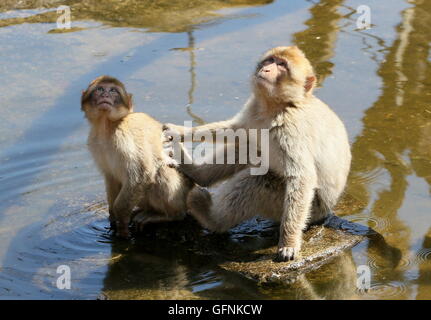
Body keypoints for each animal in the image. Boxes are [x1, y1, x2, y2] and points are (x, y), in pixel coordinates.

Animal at [80, 76, 194, 239]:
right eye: (100, 89)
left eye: (113, 90)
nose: (105, 95)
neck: (107, 125)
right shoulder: (95, 142)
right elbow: (111, 177)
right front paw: (112, 217)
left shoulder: (124, 137)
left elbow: (140, 175)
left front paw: (121, 222)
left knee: (160, 168)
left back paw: (170, 215)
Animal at [164, 46, 352, 262]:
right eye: (270, 61)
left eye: (282, 65)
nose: (267, 69)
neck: (275, 107)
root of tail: (327, 211)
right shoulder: (253, 109)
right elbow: (234, 130)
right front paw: (180, 131)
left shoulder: (292, 129)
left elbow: (302, 177)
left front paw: (289, 243)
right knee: (250, 146)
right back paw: (197, 173)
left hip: (304, 209)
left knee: (258, 180)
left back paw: (211, 217)